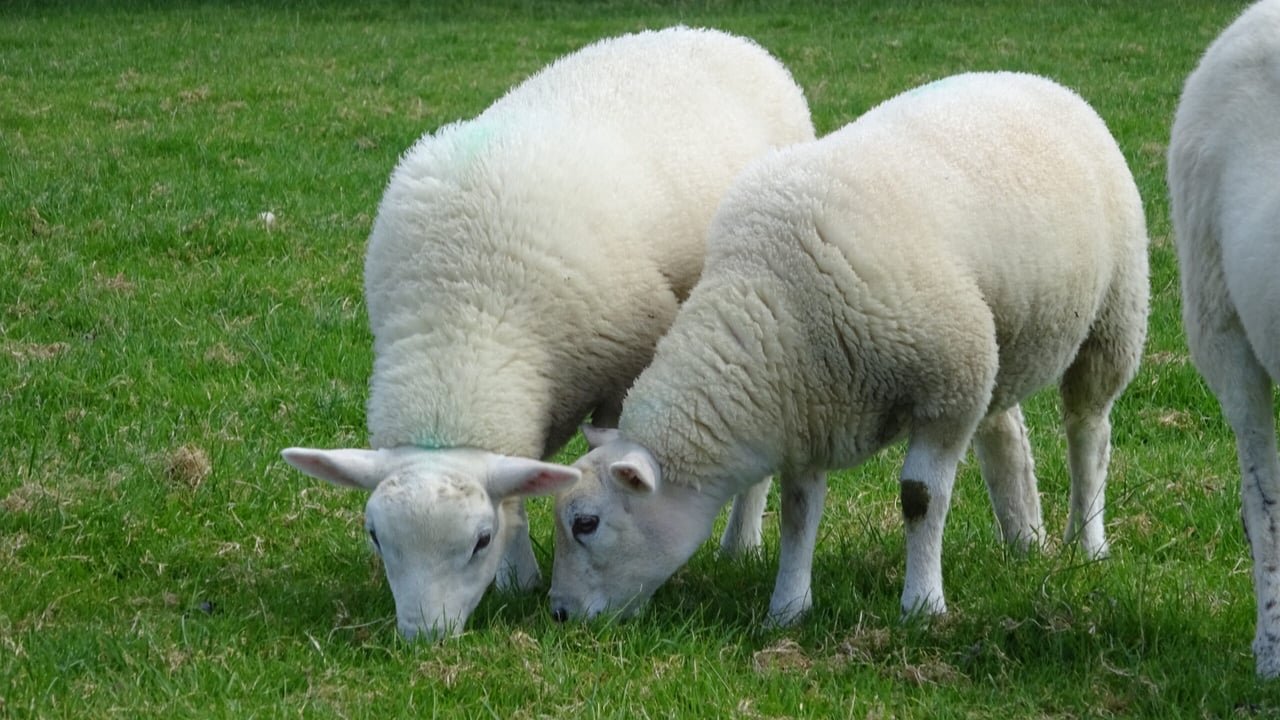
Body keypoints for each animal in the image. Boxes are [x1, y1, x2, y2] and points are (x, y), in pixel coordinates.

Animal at [280, 26, 814, 641]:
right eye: (375, 537)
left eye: (479, 541)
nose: (424, 638)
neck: (463, 325)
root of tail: (720, 36)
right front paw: (519, 581)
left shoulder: (620, 375)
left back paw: (740, 546)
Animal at [548, 71, 1149, 627]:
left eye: (586, 523)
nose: (558, 613)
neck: (770, 303)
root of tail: (1038, 80)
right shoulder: (809, 412)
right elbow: (798, 513)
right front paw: (787, 609)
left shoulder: (945, 391)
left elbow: (920, 500)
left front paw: (922, 605)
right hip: (996, 343)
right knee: (1005, 434)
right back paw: (1024, 538)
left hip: (1111, 316)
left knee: (1089, 433)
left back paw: (1086, 542)